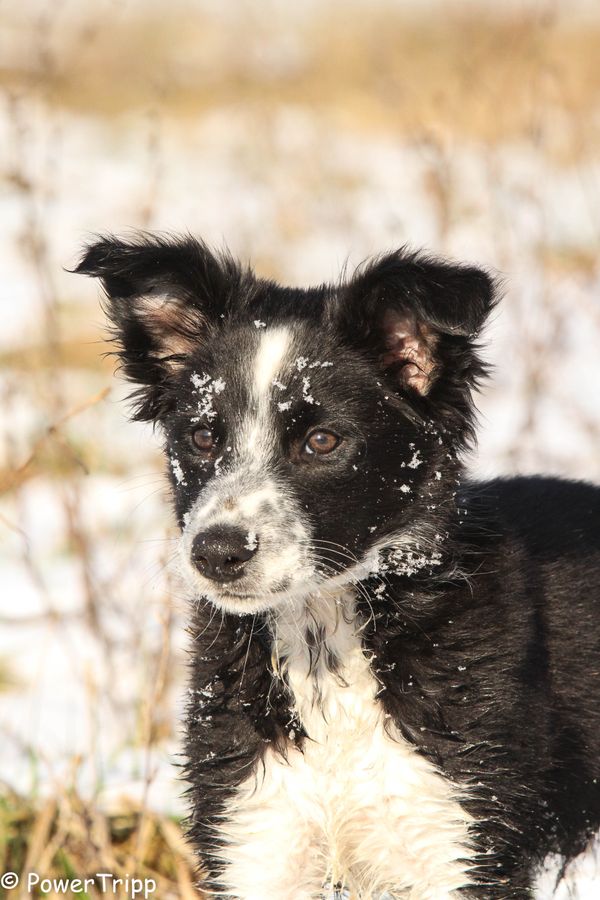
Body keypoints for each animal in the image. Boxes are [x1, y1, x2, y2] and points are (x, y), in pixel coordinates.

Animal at [76, 235, 600, 899]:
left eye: (322, 441)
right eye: (201, 437)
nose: (216, 552)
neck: (323, 636)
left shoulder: (467, 839)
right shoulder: (254, 834)